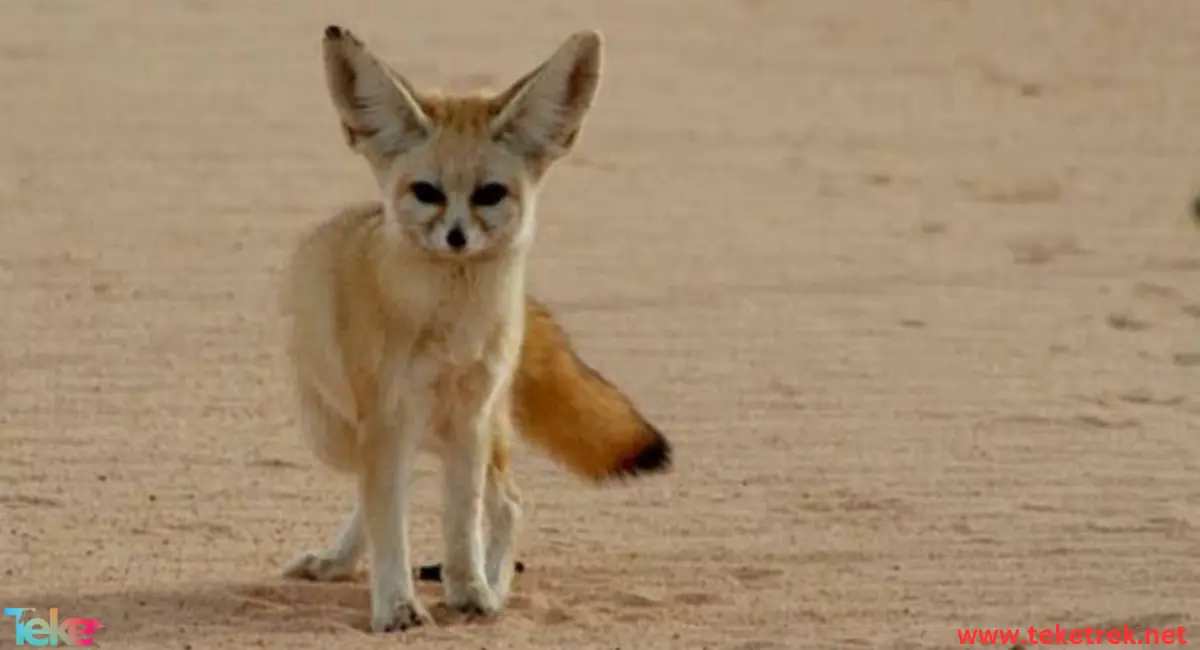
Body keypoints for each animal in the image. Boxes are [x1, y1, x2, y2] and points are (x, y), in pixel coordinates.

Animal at [283, 28, 676, 633]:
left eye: (490, 193)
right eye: (427, 192)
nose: (456, 238)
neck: (452, 328)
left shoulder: (469, 416)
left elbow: (461, 521)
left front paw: (471, 591)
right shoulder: (389, 417)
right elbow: (388, 519)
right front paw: (397, 604)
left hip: (464, 429)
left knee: (506, 502)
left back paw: (493, 581)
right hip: (341, 435)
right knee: (379, 495)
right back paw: (341, 560)